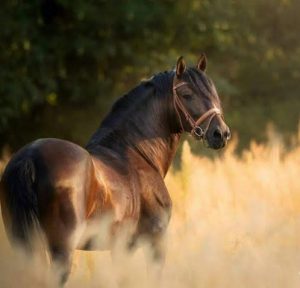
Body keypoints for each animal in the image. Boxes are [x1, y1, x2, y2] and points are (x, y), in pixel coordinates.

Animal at [0, 54, 231, 286]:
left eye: (213, 92)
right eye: (186, 94)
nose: (220, 133)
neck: (137, 154)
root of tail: (30, 156)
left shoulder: (121, 249)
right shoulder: (155, 242)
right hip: (61, 249)